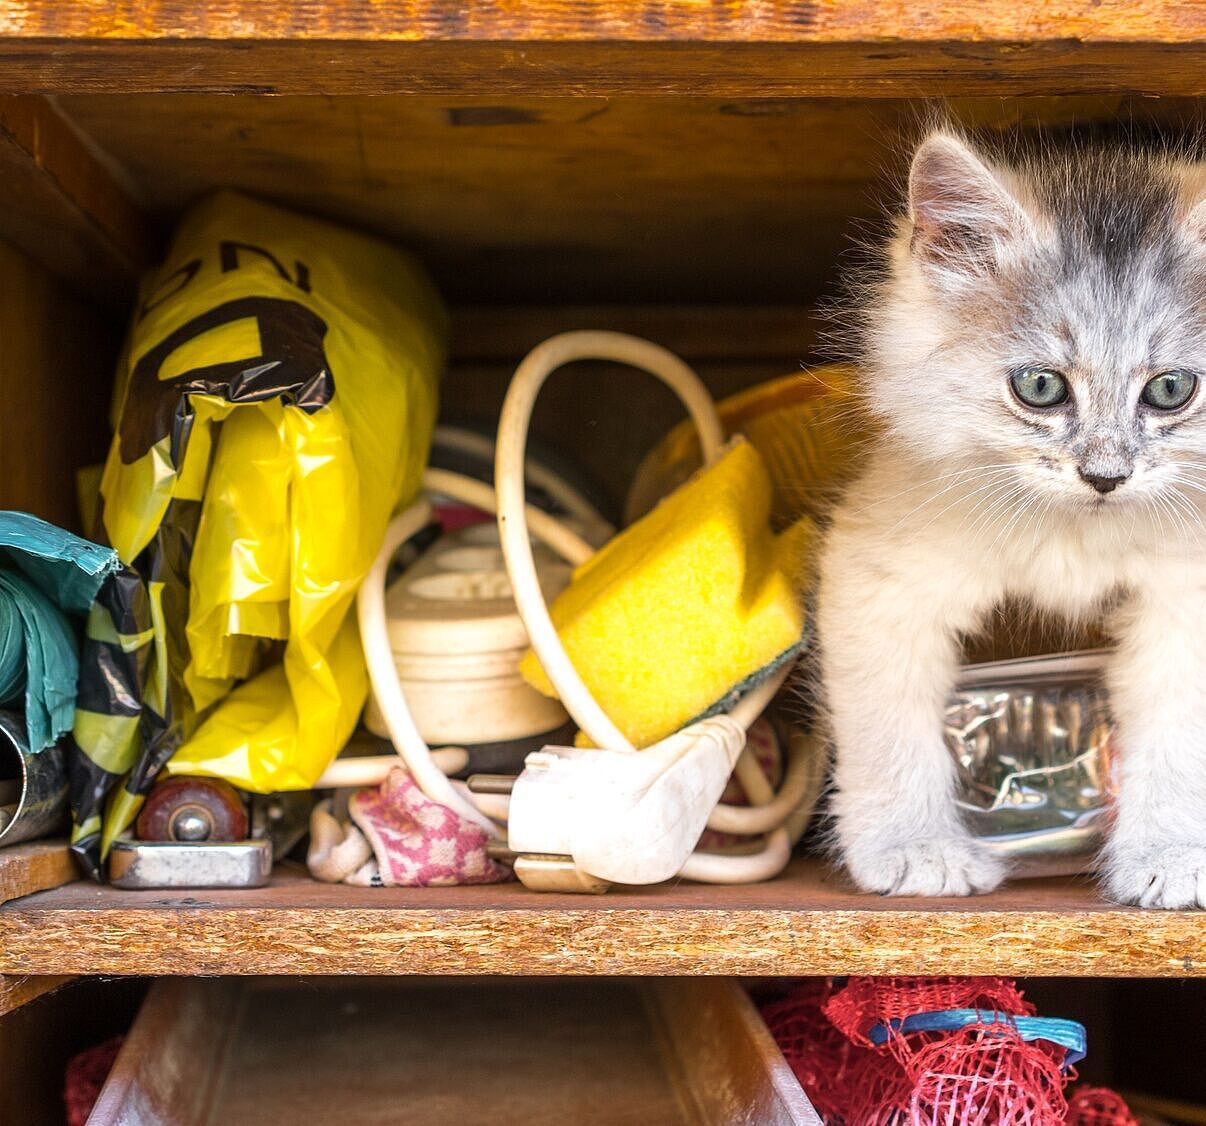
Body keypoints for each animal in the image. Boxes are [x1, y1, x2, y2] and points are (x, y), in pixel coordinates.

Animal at [815, 130, 1206, 906]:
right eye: (1041, 387)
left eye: (1172, 389)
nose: (1105, 478)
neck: (1077, 531)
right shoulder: (877, 578)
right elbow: (888, 733)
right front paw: (914, 849)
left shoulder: (1187, 603)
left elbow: (1179, 743)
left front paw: (1172, 855)